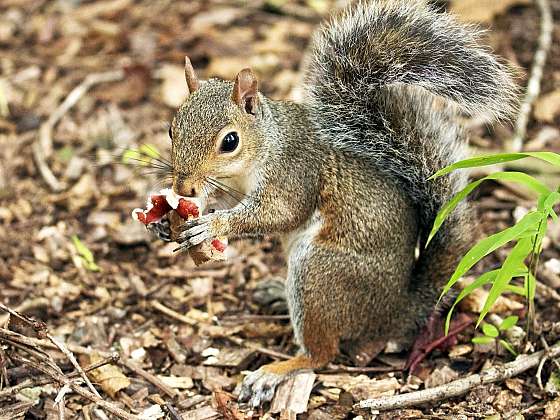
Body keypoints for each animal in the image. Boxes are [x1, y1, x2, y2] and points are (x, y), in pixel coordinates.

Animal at [151, 0, 520, 408]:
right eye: (171, 128)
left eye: (229, 141)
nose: (182, 186)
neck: (264, 146)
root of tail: (395, 311)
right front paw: (165, 220)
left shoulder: (296, 171)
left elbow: (280, 212)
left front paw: (212, 224)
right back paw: (275, 294)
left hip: (319, 274)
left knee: (322, 354)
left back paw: (274, 372)